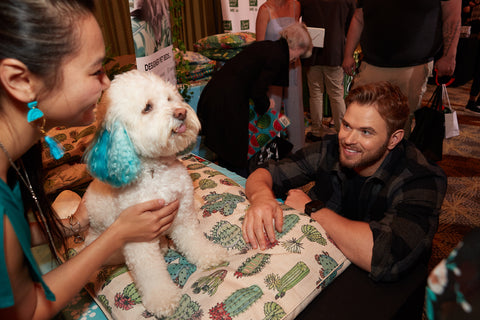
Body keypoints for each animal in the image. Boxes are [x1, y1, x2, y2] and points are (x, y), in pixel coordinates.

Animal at [83, 69, 229, 316]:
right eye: (147, 108)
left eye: (170, 99)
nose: (181, 112)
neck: (156, 172)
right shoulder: (138, 237)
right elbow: (150, 273)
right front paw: (163, 298)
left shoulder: (183, 215)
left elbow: (194, 240)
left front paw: (209, 254)